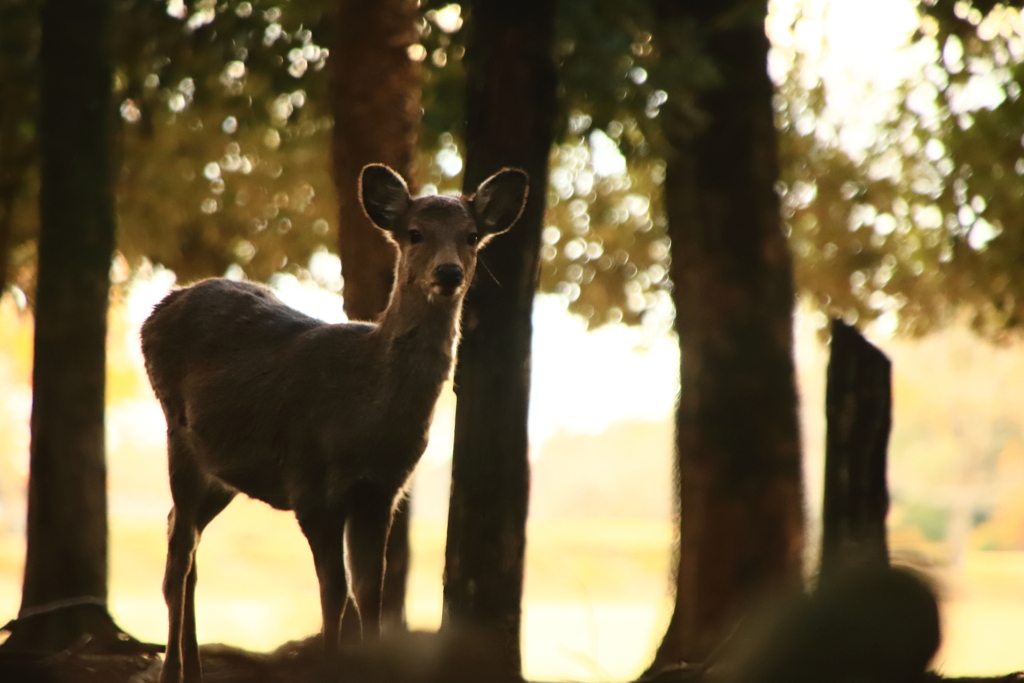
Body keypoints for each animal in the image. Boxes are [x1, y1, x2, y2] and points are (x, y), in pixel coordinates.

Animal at [139, 163, 528, 683]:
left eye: (471, 236)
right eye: (414, 233)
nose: (449, 272)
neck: (365, 419)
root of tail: (156, 312)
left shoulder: (380, 493)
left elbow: (370, 592)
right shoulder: (311, 485)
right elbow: (334, 594)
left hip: (222, 471)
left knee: (181, 540)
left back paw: (196, 670)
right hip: (176, 433)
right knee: (179, 555)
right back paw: (172, 671)